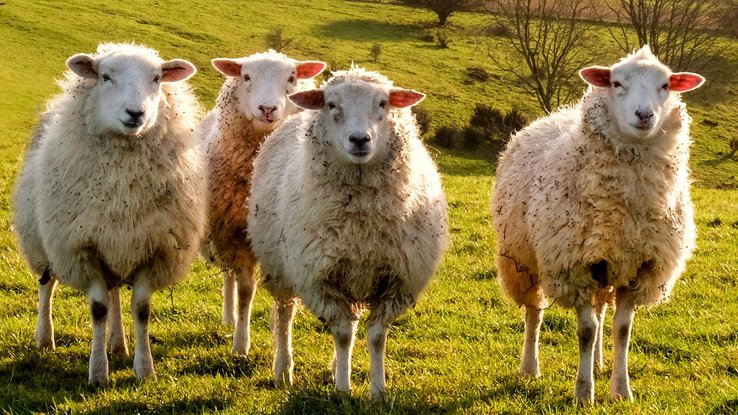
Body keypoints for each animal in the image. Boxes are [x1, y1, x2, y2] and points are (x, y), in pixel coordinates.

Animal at [13, 43, 206, 385]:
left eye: (157, 78)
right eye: (105, 76)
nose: (136, 113)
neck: (123, 189)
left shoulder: (152, 249)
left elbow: (141, 309)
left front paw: (144, 369)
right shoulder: (82, 249)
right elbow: (98, 309)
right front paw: (98, 372)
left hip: (118, 246)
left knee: (115, 291)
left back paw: (117, 343)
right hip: (44, 243)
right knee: (46, 286)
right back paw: (45, 338)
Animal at [198, 50, 325, 355]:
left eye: (291, 77)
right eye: (246, 76)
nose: (268, 109)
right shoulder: (235, 234)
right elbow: (245, 290)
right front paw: (240, 343)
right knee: (229, 276)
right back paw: (230, 318)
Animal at [247, 66, 449, 398]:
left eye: (383, 103)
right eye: (331, 104)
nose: (359, 139)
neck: (360, 225)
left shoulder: (396, 282)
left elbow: (376, 336)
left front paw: (377, 391)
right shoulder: (320, 279)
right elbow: (342, 334)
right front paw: (343, 389)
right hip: (280, 268)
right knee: (285, 314)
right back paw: (283, 370)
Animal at [491, 45, 704, 403]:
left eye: (665, 85)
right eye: (617, 83)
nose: (644, 115)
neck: (628, 210)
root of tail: (554, 115)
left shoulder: (638, 267)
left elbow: (622, 330)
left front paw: (621, 389)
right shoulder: (575, 267)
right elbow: (586, 331)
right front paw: (583, 392)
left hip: (605, 266)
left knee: (602, 310)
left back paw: (600, 363)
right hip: (524, 260)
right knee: (534, 313)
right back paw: (530, 367)